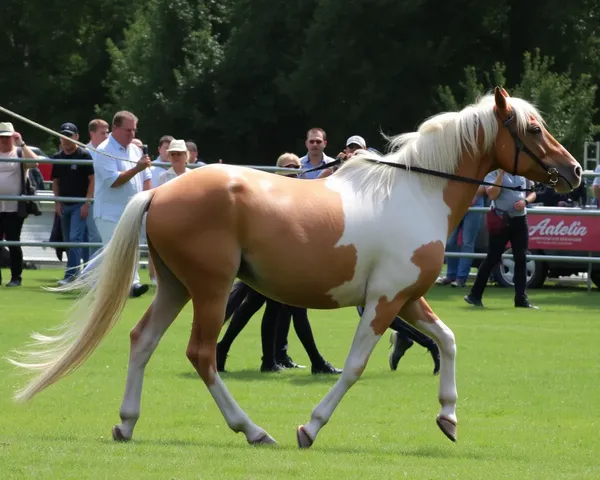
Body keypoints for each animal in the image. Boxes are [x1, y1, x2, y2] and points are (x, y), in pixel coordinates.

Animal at [8, 88, 580, 448]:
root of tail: (163, 191)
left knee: (141, 341)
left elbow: (448, 340)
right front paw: (311, 427)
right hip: (210, 289)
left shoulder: (407, 298)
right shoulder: (382, 304)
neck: (418, 190)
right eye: (533, 128)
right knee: (202, 355)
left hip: (175, 287)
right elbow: (354, 366)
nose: (573, 170)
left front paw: (448, 416)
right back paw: (253, 430)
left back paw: (127, 424)